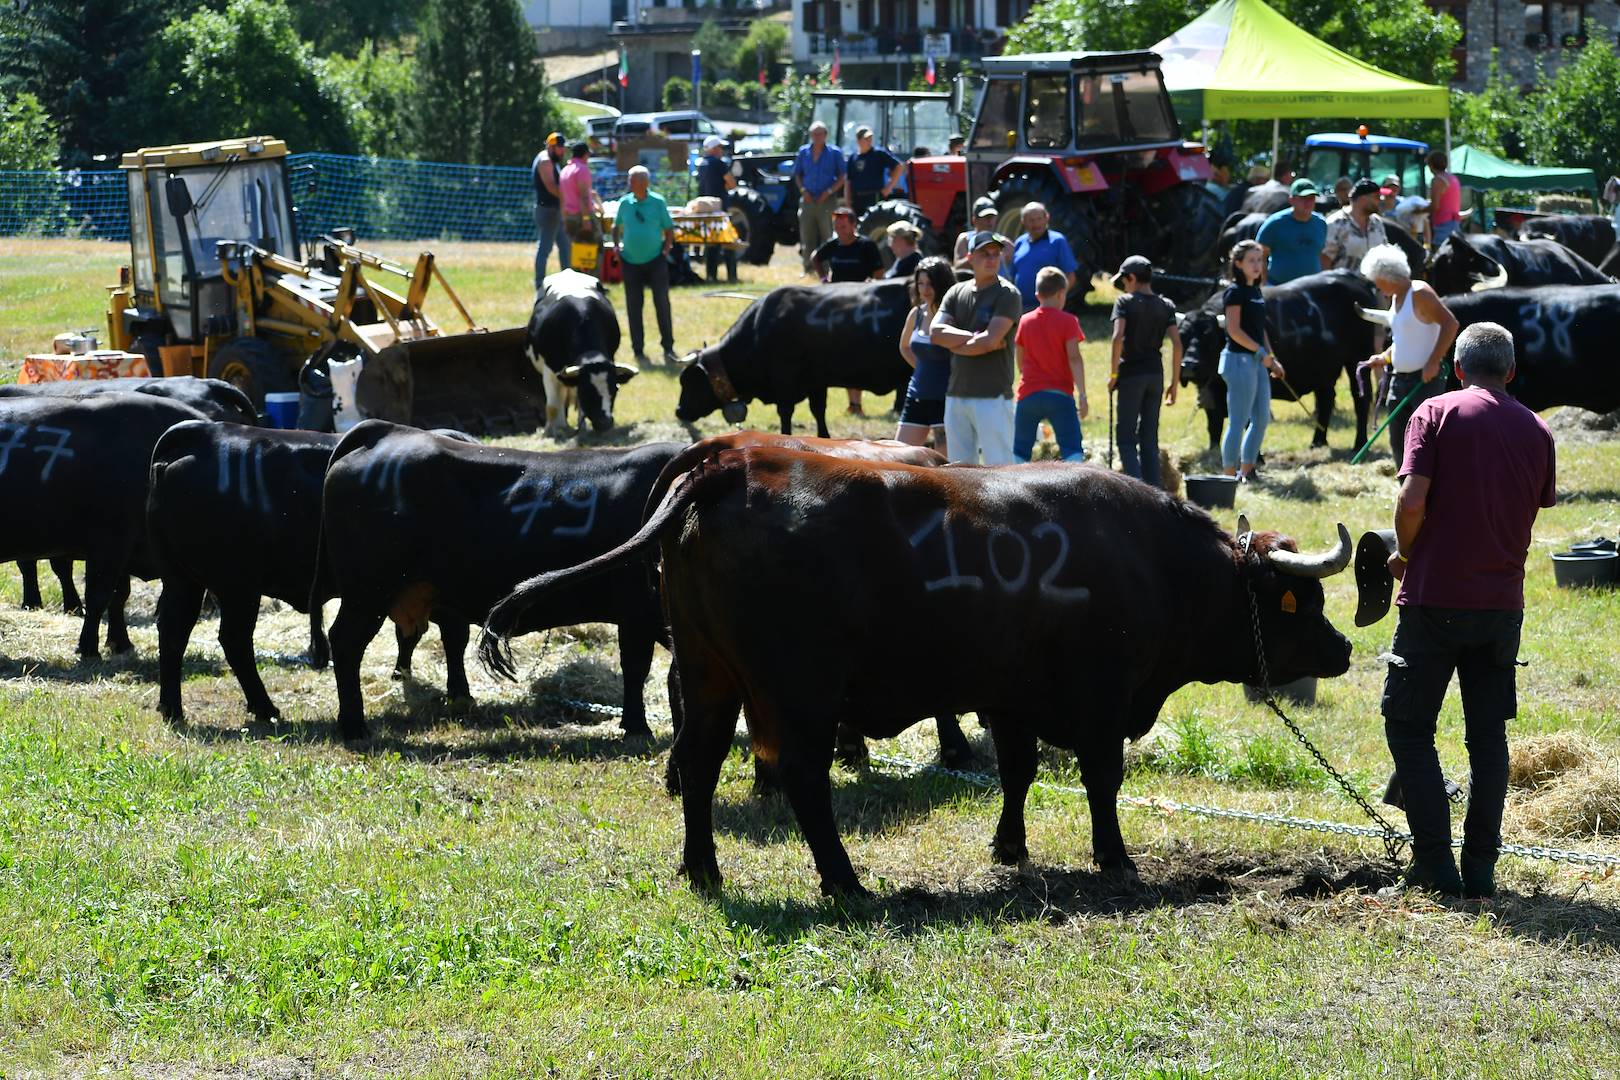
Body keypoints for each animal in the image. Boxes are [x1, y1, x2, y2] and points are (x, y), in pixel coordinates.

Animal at [0, 393, 205, 654]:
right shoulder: (108, 544)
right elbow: (99, 596)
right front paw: (87, 647)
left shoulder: (123, 552)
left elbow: (119, 596)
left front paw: (120, 642)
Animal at [476, 453, 1354, 900]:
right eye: (1304, 601)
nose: (1344, 649)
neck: (1155, 560)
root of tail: (732, 465)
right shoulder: (1102, 697)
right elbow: (1101, 779)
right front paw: (1115, 858)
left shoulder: (1011, 695)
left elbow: (1019, 770)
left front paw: (1009, 847)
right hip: (798, 693)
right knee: (804, 779)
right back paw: (844, 883)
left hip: (710, 676)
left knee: (696, 763)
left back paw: (704, 869)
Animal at [528, 268, 635, 437]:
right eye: (587, 391)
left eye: (614, 390)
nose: (605, 423)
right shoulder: (550, 371)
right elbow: (552, 406)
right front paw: (549, 432)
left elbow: (578, 404)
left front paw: (582, 428)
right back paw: (561, 425)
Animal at [1179, 275, 1380, 456]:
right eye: (1182, 336)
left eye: (1210, 338)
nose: (1189, 365)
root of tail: (1356, 280)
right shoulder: (1208, 392)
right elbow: (1214, 424)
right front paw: (1213, 451)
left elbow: (1247, 423)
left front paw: (1256, 458)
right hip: (1323, 371)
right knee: (1326, 400)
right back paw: (1318, 442)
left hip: (1357, 359)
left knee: (1361, 400)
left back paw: (1359, 444)